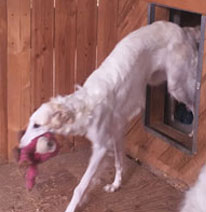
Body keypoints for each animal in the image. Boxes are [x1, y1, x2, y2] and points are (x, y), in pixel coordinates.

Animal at [18, 21, 200, 212]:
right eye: (30, 123)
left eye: (36, 125)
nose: (19, 146)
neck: (86, 106)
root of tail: (182, 30)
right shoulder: (116, 131)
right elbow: (119, 162)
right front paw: (116, 185)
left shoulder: (101, 147)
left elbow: (81, 186)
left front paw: (71, 207)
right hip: (159, 79)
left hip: (177, 86)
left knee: (193, 103)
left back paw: (192, 132)